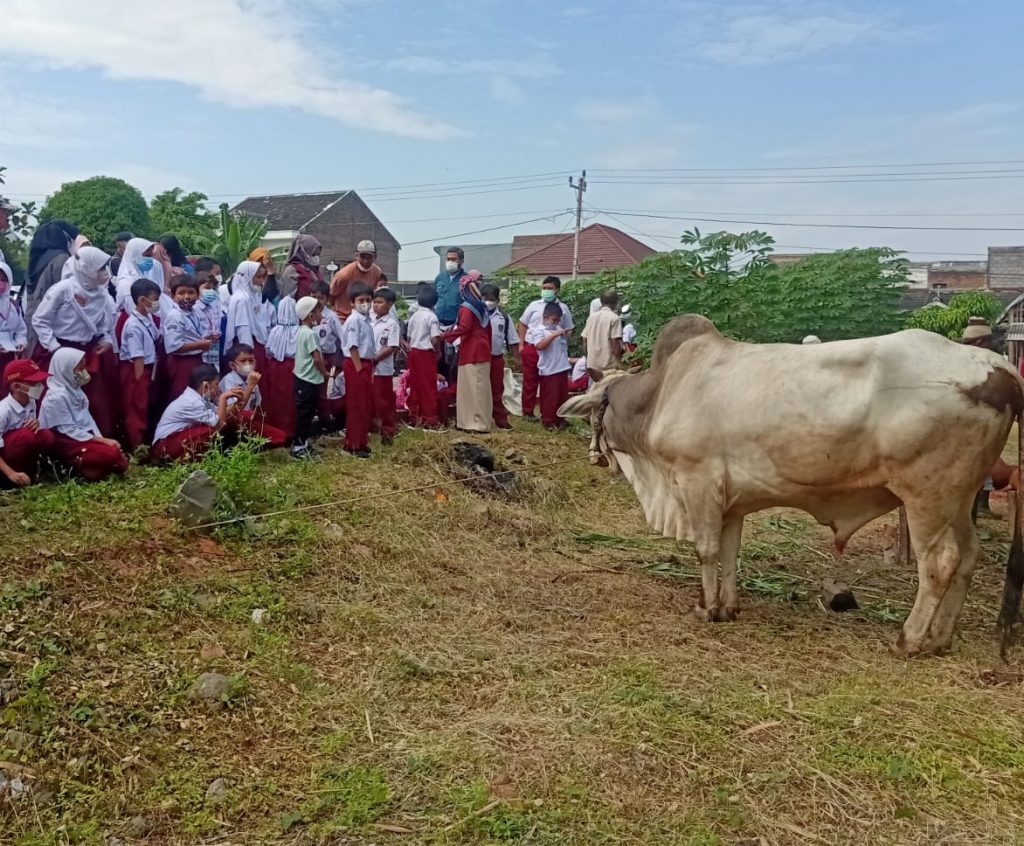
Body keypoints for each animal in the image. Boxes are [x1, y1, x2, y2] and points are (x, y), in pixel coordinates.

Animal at [561, 315, 1024, 651]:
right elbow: (730, 552)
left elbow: (706, 550)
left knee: (940, 562)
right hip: (960, 499)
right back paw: (940, 638)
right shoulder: (730, 500)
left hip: (928, 497)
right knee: (969, 555)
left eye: (595, 411)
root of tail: (1002, 370)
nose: (593, 456)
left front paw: (706, 608)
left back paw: (909, 639)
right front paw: (728, 607)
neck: (663, 393)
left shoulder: (698, 482)